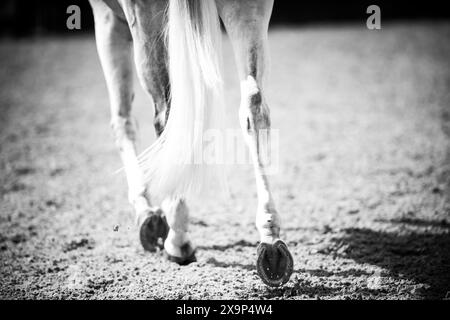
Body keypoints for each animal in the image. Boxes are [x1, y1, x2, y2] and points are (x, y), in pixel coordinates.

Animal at [89, 0, 294, 286]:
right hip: (248, 9)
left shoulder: (106, 18)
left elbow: (122, 121)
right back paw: (271, 243)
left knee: (166, 114)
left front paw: (146, 210)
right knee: (254, 105)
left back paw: (177, 239)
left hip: (145, 19)